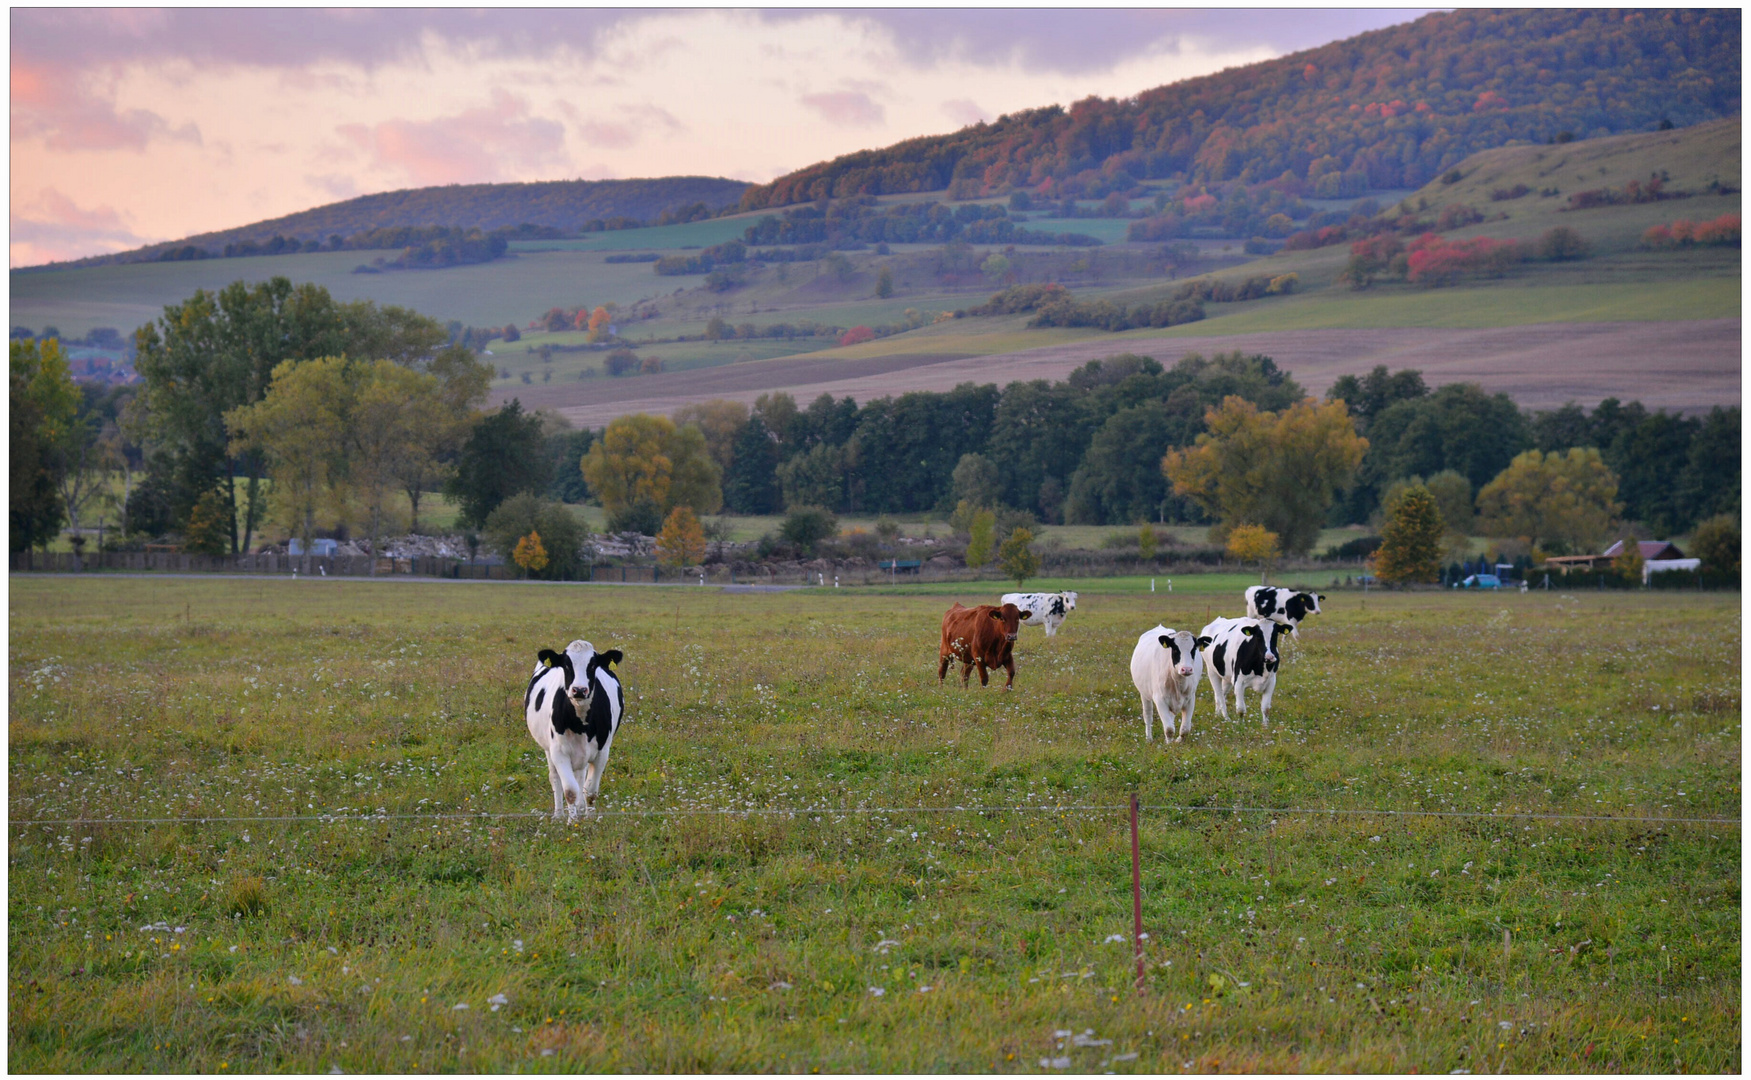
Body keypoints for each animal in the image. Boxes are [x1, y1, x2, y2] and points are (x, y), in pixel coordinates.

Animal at [521, 637, 626, 822]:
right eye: (566, 664)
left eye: (593, 665)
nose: (579, 690)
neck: (580, 723)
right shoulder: (559, 752)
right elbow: (570, 790)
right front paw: (573, 822)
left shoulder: (602, 753)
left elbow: (590, 791)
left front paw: (589, 820)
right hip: (548, 749)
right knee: (555, 778)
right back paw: (558, 815)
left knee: (580, 777)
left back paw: (581, 808)